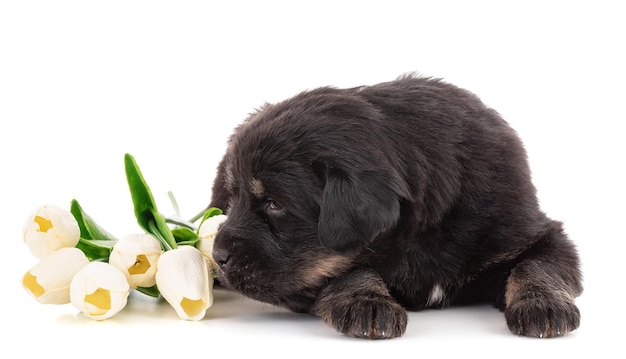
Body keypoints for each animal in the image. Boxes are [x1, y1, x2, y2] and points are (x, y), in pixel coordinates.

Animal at [210, 74, 580, 338]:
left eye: (274, 204)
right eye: (233, 200)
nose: (217, 256)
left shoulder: (530, 231)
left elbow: (536, 265)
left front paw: (542, 305)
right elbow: (351, 270)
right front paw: (368, 302)